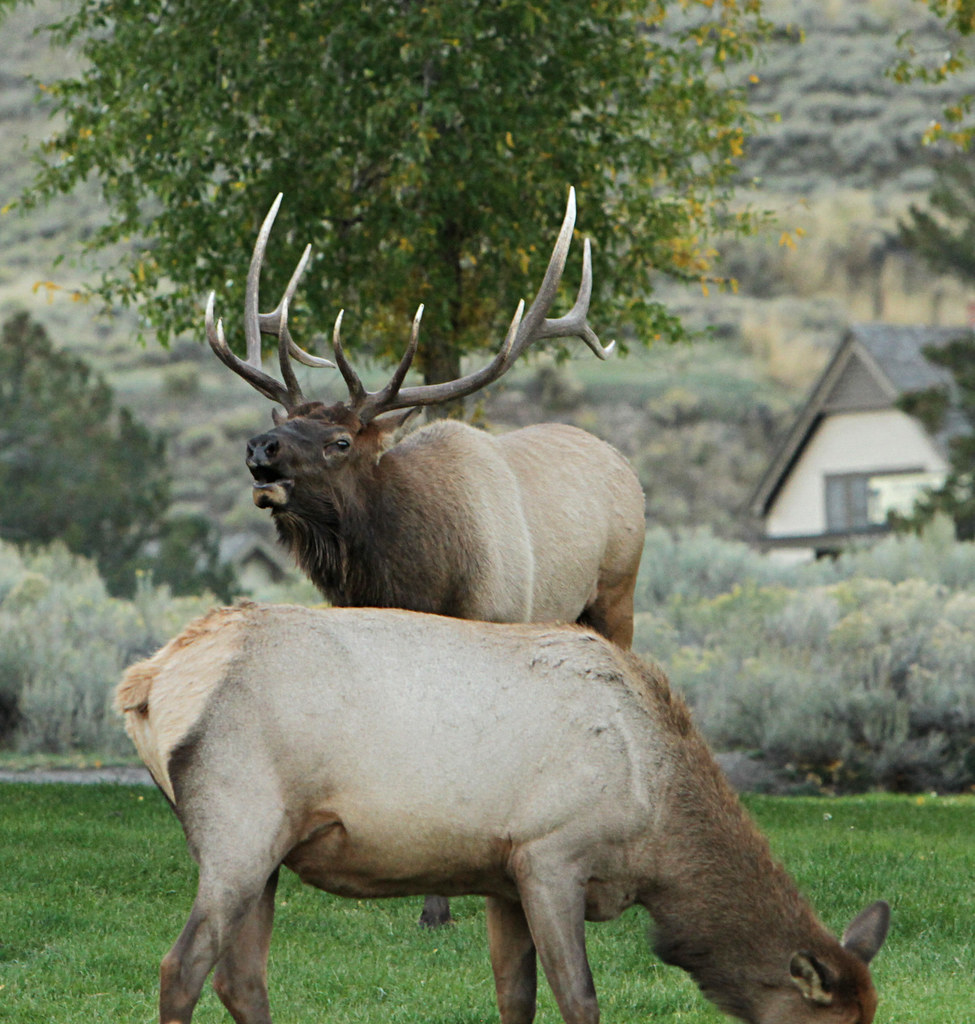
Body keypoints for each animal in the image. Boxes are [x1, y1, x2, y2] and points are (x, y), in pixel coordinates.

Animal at [118, 602, 890, 1024]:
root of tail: (147, 682)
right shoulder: (552, 855)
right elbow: (579, 998)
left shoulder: (501, 874)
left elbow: (514, 998)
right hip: (240, 829)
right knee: (181, 967)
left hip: (269, 850)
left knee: (241, 978)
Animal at [207, 192, 646, 926]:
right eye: (286, 420)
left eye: (340, 440)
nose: (260, 448)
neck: (413, 578)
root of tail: (622, 465)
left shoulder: (492, 617)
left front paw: (445, 903)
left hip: (617, 590)